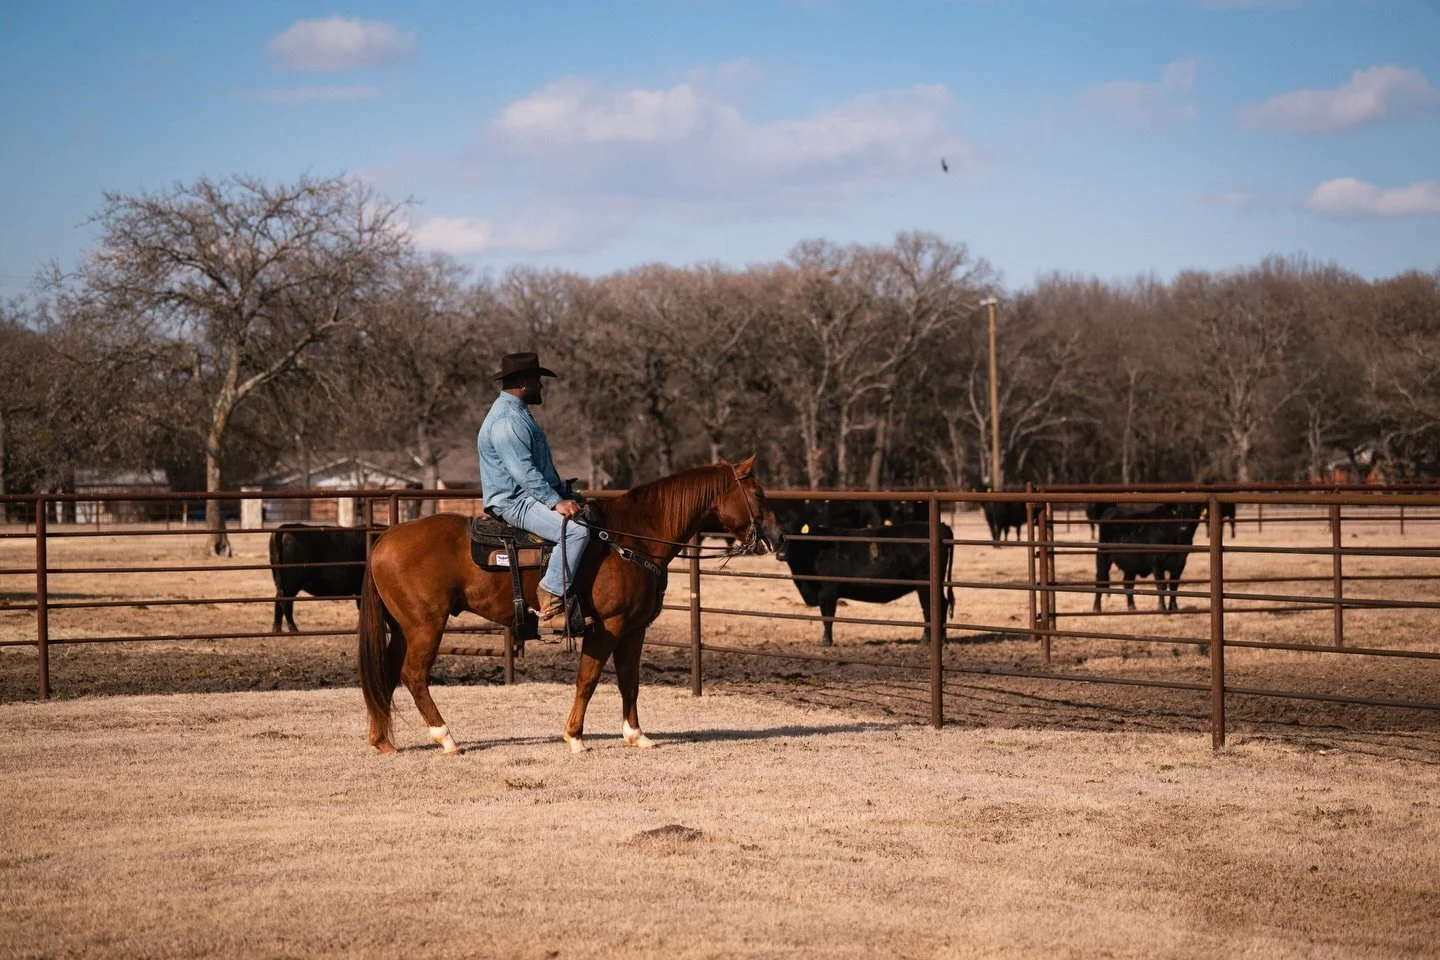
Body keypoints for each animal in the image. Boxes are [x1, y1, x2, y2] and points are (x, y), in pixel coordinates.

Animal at [358, 455, 781, 755]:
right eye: (759, 494)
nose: (776, 535)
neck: (631, 538)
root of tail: (384, 540)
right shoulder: (608, 626)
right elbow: (588, 679)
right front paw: (575, 736)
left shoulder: (634, 629)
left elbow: (629, 680)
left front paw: (636, 735)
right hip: (426, 626)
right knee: (413, 675)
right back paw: (445, 738)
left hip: (403, 628)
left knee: (386, 672)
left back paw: (382, 740)